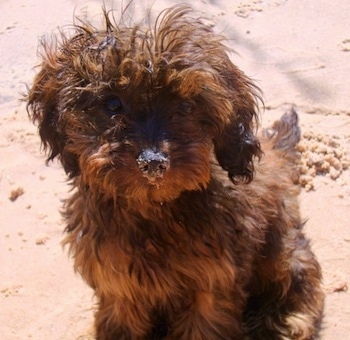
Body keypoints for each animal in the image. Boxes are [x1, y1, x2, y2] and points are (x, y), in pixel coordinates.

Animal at [26, 5, 324, 340]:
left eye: (185, 105)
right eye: (112, 103)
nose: (153, 162)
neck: (153, 211)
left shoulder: (212, 283)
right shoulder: (118, 285)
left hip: (282, 250)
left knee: (300, 278)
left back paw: (288, 319)